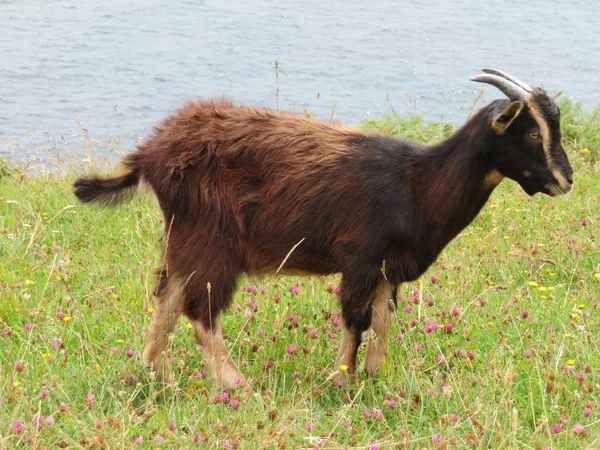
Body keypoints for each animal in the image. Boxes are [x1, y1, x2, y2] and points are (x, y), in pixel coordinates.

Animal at [72, 68, 576, 388]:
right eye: (532, 132)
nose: (566, 179)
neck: (417, 182)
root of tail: (151, 154)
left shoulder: (387, 268)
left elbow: (383, 319)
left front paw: (373, 375)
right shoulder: (360, 258)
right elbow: (355, 318)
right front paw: (341, 379)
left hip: (184, 237)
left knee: (168, 295)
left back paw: (156, 373)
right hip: (212, 240)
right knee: (201, 309)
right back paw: (235, 383)